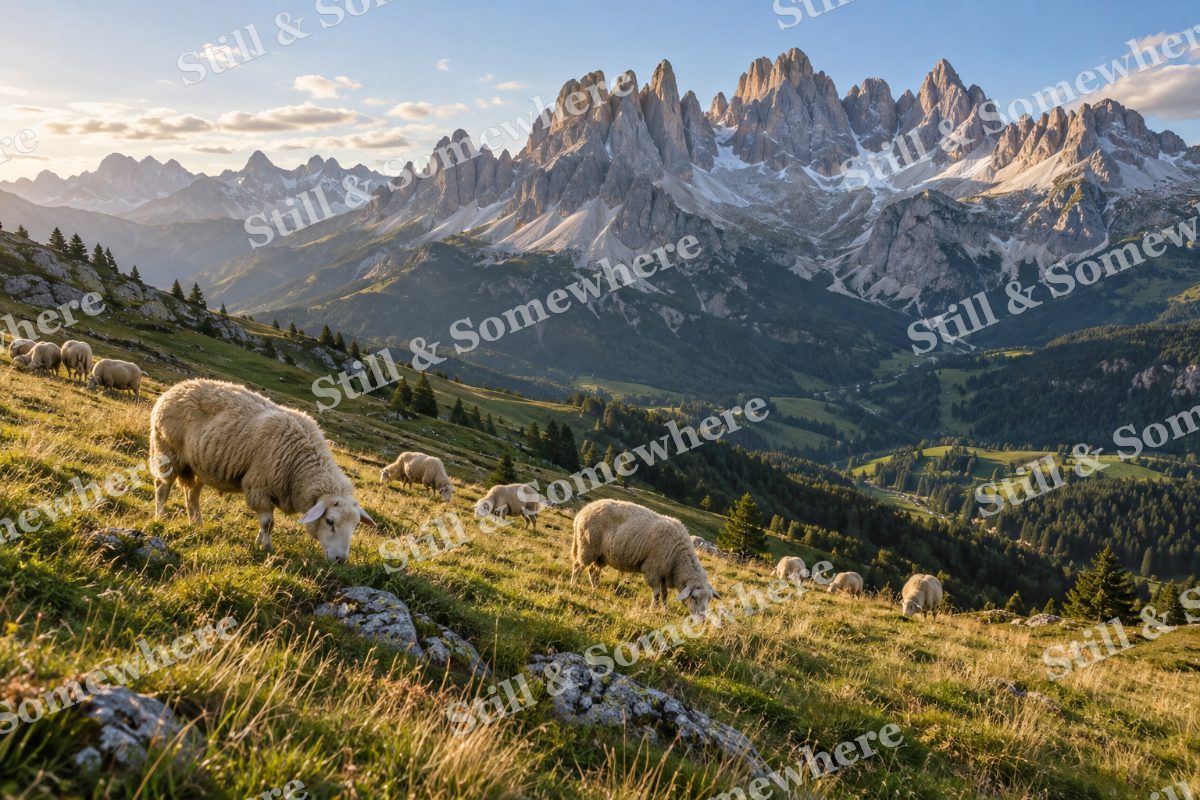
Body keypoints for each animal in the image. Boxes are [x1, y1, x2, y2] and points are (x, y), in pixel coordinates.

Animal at [149, 378, 376, 562]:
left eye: (355, 525)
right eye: (330, 521)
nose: (340, 560)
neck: (300, 466)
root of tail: (176, 388)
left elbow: (266, 522)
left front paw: (260, 542)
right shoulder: (259, 485)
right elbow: (268, 522)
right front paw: (267, 547)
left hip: (198, 464)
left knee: (192, 494)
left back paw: (197, 523)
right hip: (168, 452)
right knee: (162, 487)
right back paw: (161, 516)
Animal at [571, 498, 719, 620]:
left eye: (709, 600)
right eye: (694, 597)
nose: (702, 620)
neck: (678, 559)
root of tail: (583, 511)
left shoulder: (664, 573)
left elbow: (665, 595)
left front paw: (665, 610)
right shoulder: (653, 570)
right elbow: (657, 594)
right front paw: (653, 609)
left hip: (601, 555)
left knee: (592, 571)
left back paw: (595, 588)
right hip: (588, 546)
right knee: (578, 566)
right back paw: (574, 584)